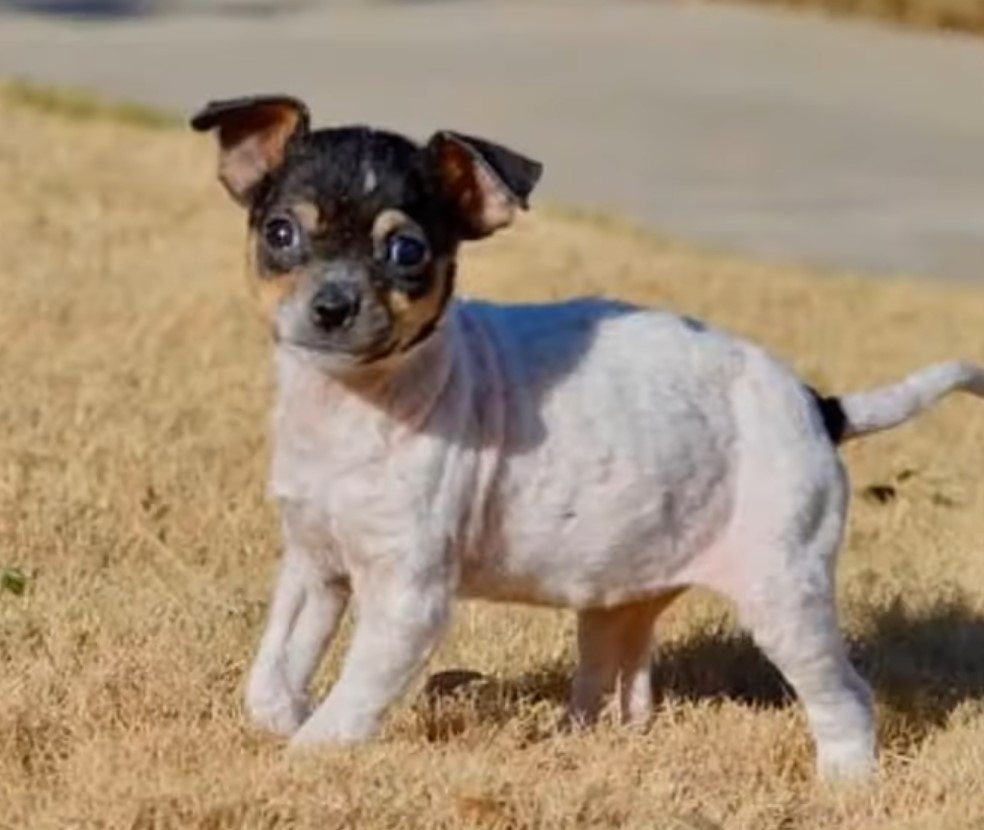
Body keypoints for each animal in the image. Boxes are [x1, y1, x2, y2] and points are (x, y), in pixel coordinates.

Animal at [192, 96, 984, 780]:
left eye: (407, 251)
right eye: (281, 233)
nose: (332, 306)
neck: (355, 404)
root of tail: (817, 406)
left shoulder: (407, 598)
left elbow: (351, 702)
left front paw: (305, 756)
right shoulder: (315, 563)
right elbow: (274, 666)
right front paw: (282, 714)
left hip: (785, 592)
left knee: (844, 696)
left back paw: (846, 783)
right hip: (622, 599)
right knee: (622, 692)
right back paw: (578, 741)